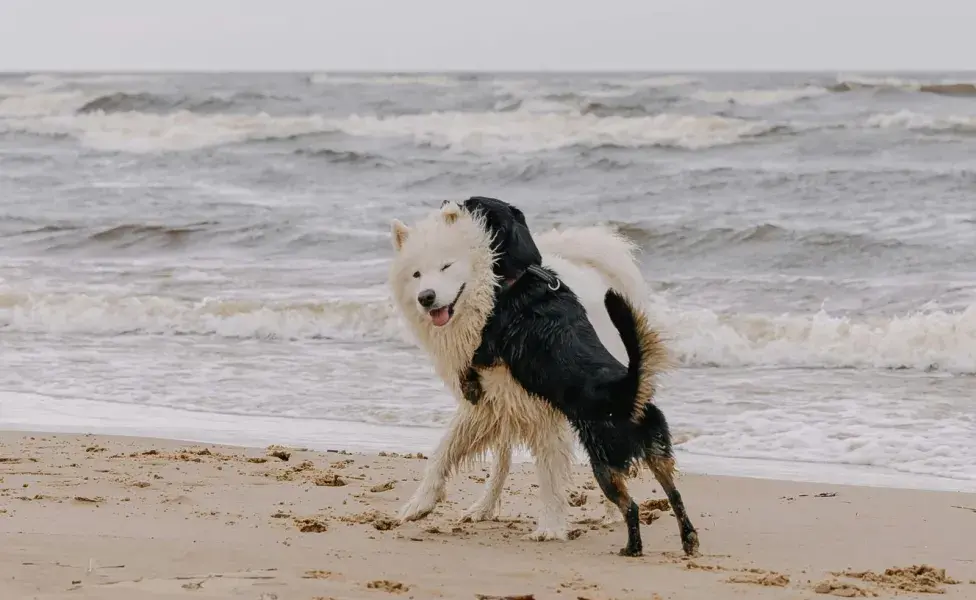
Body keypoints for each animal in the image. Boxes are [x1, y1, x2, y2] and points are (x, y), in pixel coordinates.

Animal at [454, 197, 696, 556]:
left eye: (473, 205)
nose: (450, 202)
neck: (525, 274)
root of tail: (627, 393)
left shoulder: (487, 347)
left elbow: (470, 362)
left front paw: (467, 384)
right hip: (658, 453)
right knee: (675, 495)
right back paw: (688, 539)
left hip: (604, 464)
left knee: (631, 506)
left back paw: (632, 547)